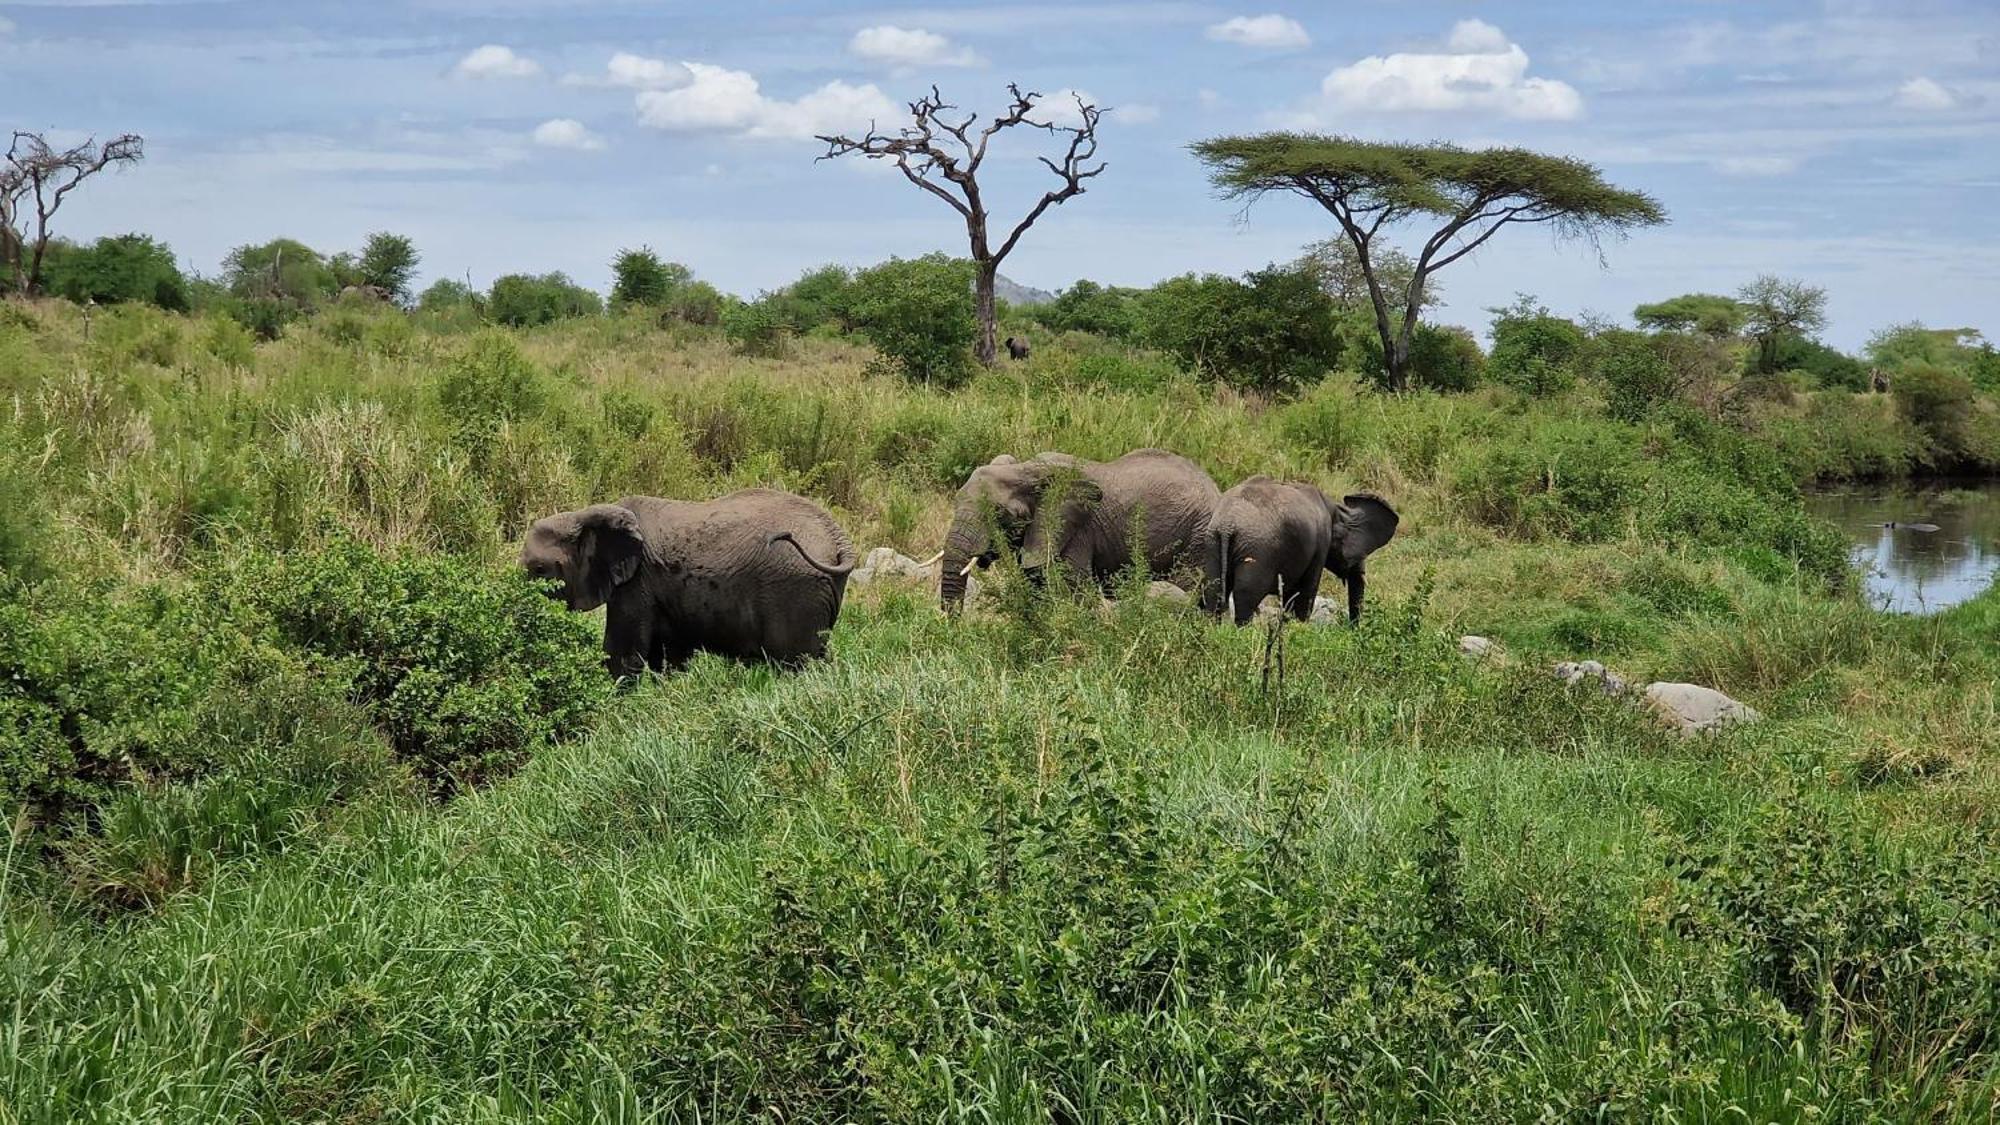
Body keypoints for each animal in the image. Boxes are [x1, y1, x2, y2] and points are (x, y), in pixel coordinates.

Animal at [520, 484, 856, 672]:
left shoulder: (637, 582)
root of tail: (838, 539)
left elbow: (623, 655)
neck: (584, 514)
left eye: (540, 570)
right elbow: (668, 657)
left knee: (795, 662)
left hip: (794, 588)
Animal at [1192, 474, 1400, 624]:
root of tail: (1228, 525)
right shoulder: (1320, 543)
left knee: (1214, 591)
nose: (1352, 629)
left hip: (1212, 543)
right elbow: (1305, 590)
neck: (1336, 509)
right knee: (1245, 596)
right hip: (1257, 551)